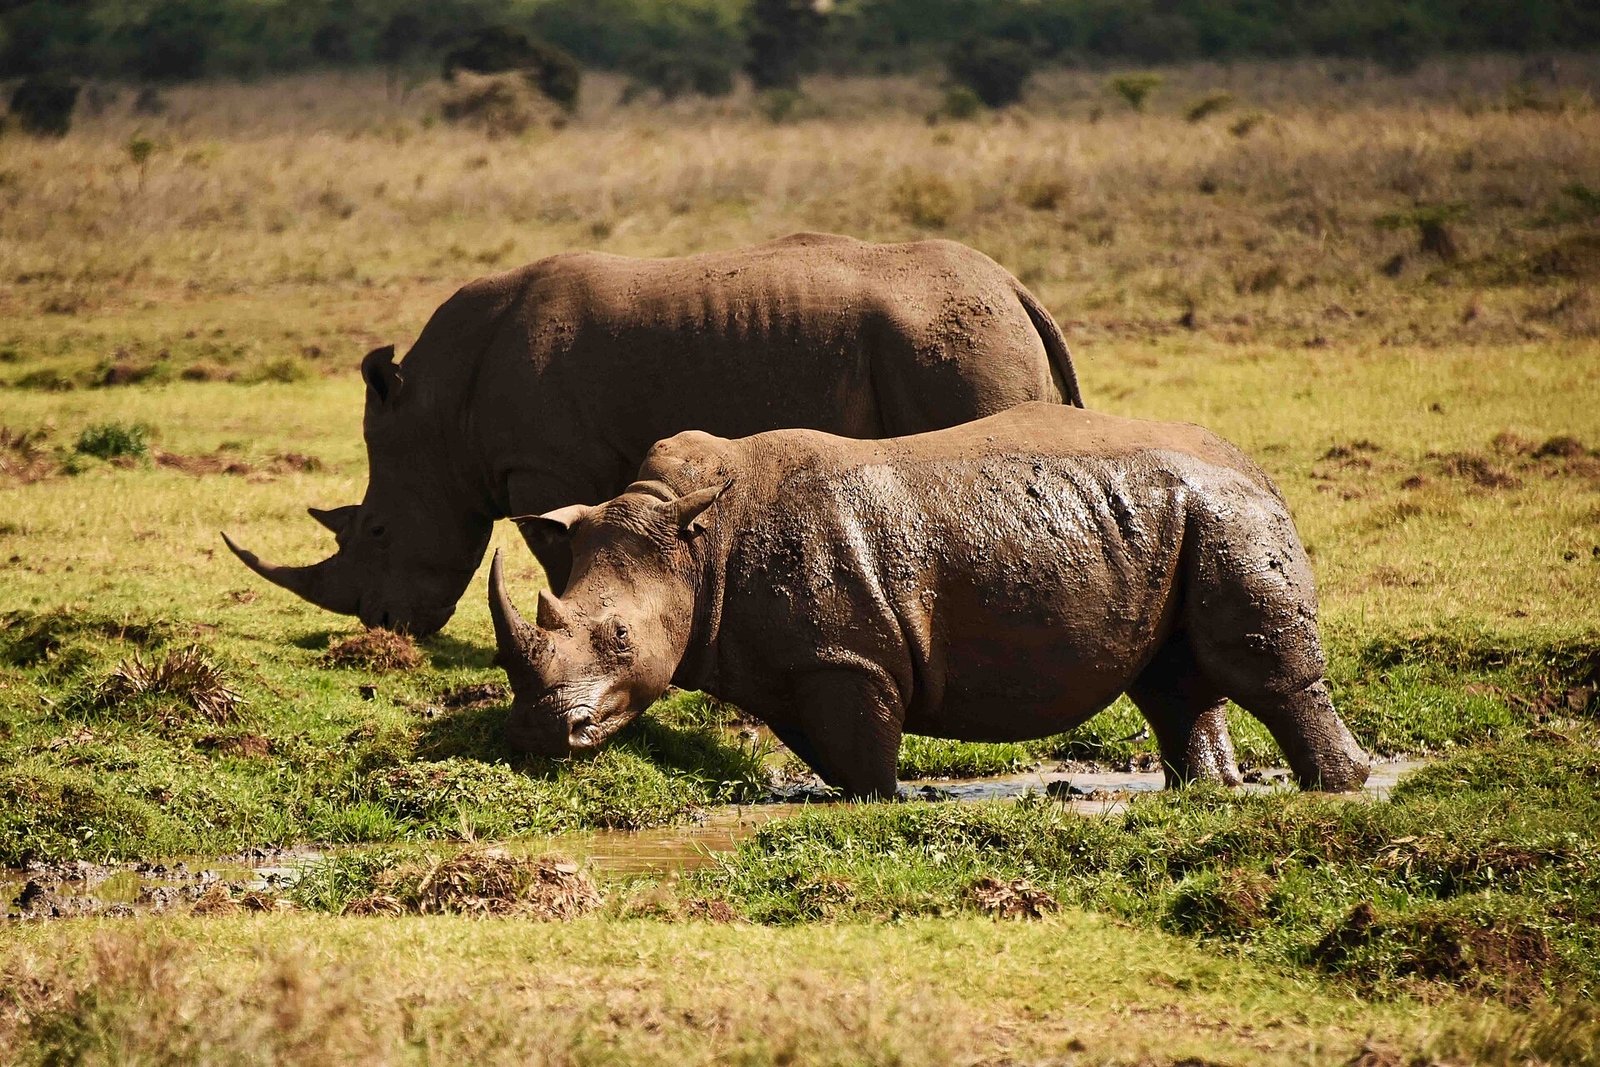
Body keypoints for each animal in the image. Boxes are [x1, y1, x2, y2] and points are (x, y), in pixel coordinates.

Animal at [222, 232, 1083, 636]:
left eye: (373, 529)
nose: (382, 626)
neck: (438, 413)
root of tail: (1014, 287)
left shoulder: (546, 465)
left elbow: (557, 547)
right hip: (969, 335)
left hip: (955, 342)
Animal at [487, 402, 1372, 797]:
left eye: (620, 638)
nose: (539, 733)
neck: (695, 537)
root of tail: (1258, 467)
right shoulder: (791, 658)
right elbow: (828, 741)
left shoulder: (850, 655)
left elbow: (865, 744)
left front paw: (884, 802)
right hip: (1177, 517)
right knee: (1170, 678)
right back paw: (1207, 793)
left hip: (1229, 512)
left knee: (1261, 668)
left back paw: (1341, 787)